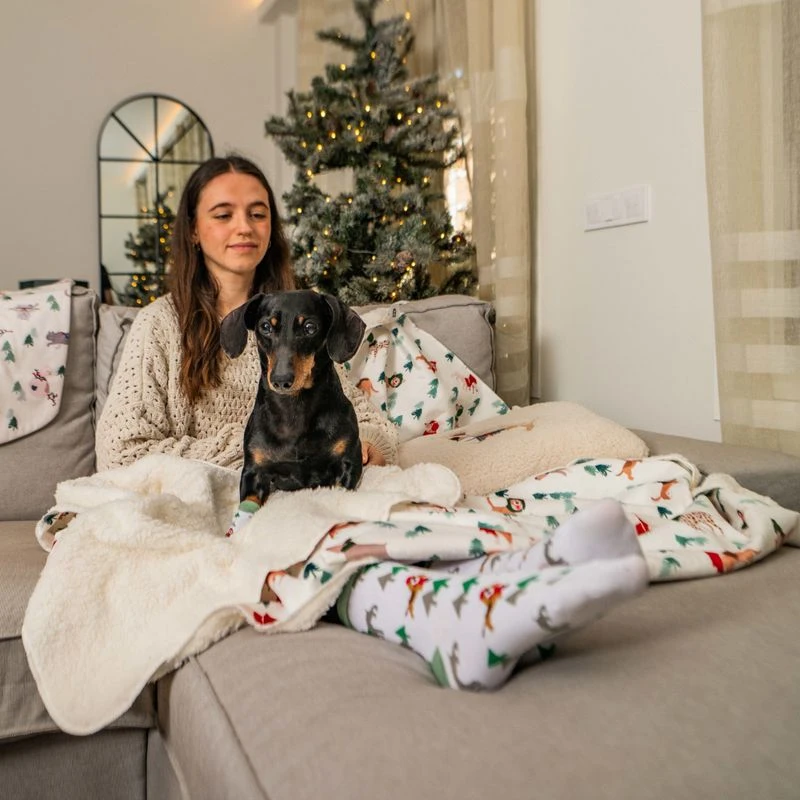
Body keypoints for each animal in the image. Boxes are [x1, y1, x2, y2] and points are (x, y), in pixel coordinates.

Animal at [220, 289, 366, 507]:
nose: (281, 380)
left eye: (310, 327)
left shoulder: (348, 461)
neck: (294, 408)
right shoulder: (253, 472)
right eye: (265, 327)